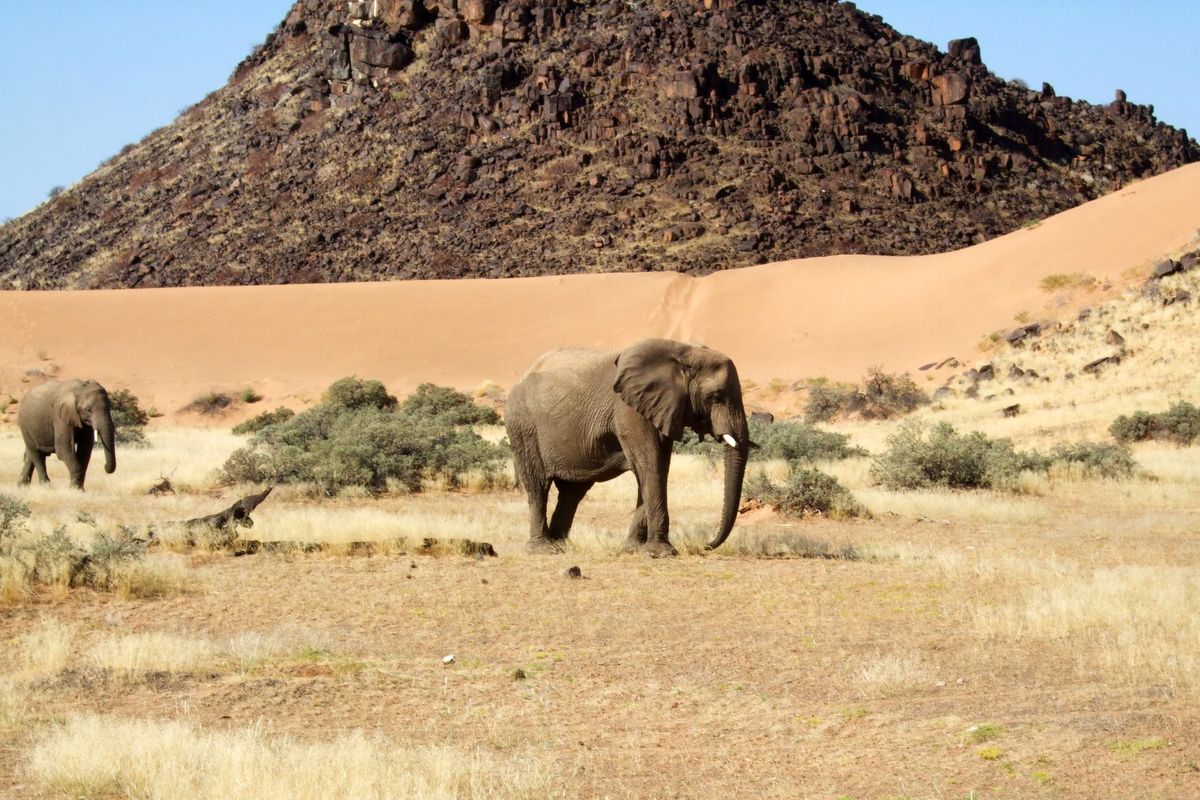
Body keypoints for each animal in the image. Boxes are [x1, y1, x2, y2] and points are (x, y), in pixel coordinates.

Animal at [505, 338, 751, 557]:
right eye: (716, 397)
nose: (706, 545)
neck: (684, 351)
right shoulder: (629, 409)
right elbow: (650, 466)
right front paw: (661, 553)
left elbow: (657, 468)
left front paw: (632, 550)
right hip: (524, 427)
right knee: (538, 486)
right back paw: (542, 549)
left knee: (571, 492)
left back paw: (559, 545)